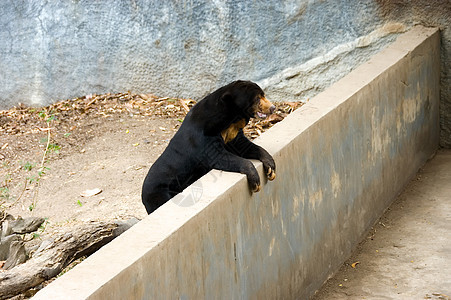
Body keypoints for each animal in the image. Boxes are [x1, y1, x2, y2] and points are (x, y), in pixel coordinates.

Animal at [142, 80, 276, 213]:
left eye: (263, 95)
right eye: (257, 98)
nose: (272, 107)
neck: (230, 120)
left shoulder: (232, 134)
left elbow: (245, 146)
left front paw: (271, 169)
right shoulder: (203, 137)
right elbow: (220, 157)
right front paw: (255, 183)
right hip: (160, 192)